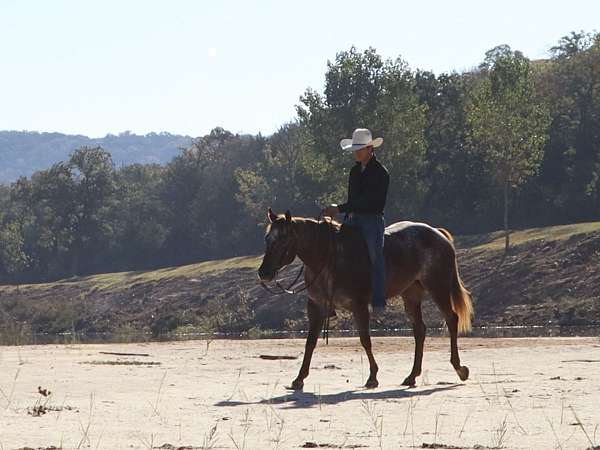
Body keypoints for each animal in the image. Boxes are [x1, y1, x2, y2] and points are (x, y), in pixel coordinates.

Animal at [258, 209, 474, 388]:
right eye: (267, 239)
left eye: (283, 239)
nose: (264, 273)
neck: (329, 258)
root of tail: (438, 234)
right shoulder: (316, 307)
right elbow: (310, 342)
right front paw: (299, 378)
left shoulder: (359, 305)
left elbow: (365, 340)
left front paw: (372, 377)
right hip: (411, 294)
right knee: (419, 330)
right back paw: (412, 376)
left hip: (438, 287)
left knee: (451, 319)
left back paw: (459, 368)